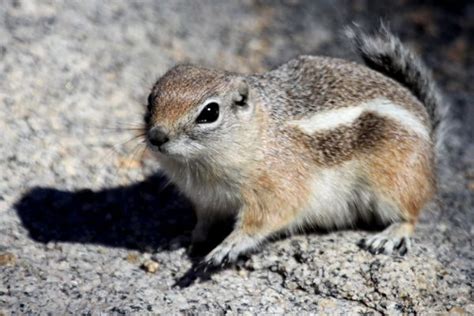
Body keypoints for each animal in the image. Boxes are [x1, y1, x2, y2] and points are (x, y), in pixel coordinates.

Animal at [143, 25, 444, 266]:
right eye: (151, 98)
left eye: (209, 112)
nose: (157, 136)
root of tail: (430, 137)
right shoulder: (207, 201)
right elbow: (203, 224)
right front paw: (186, 237)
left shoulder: (277, 190)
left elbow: (263, 221)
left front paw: (228, 246)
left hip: (395, 182)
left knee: (410, 215)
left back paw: (390, 235)